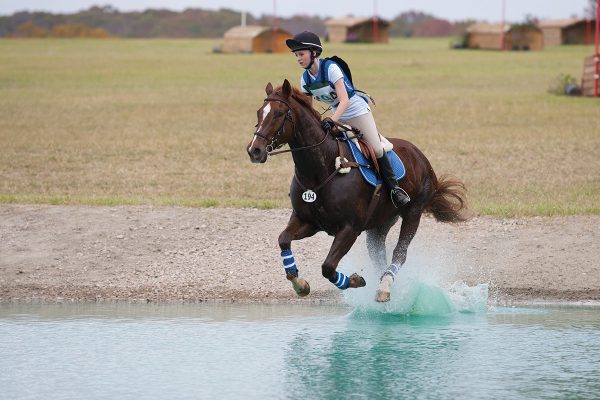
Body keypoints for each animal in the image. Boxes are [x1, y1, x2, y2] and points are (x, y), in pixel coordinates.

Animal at [246, 79, 466, 302]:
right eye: (259, 112)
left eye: (279, 114)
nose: (254, 150)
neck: (322, 169)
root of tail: (420, 156)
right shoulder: (307, 221)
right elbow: (283, 240)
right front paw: (300, 284)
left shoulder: (350, 228)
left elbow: (328, 267)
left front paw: (354, 280)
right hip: (380, 224)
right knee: (379, 256)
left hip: (413, 212)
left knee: (400, 253)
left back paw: (384, 287)